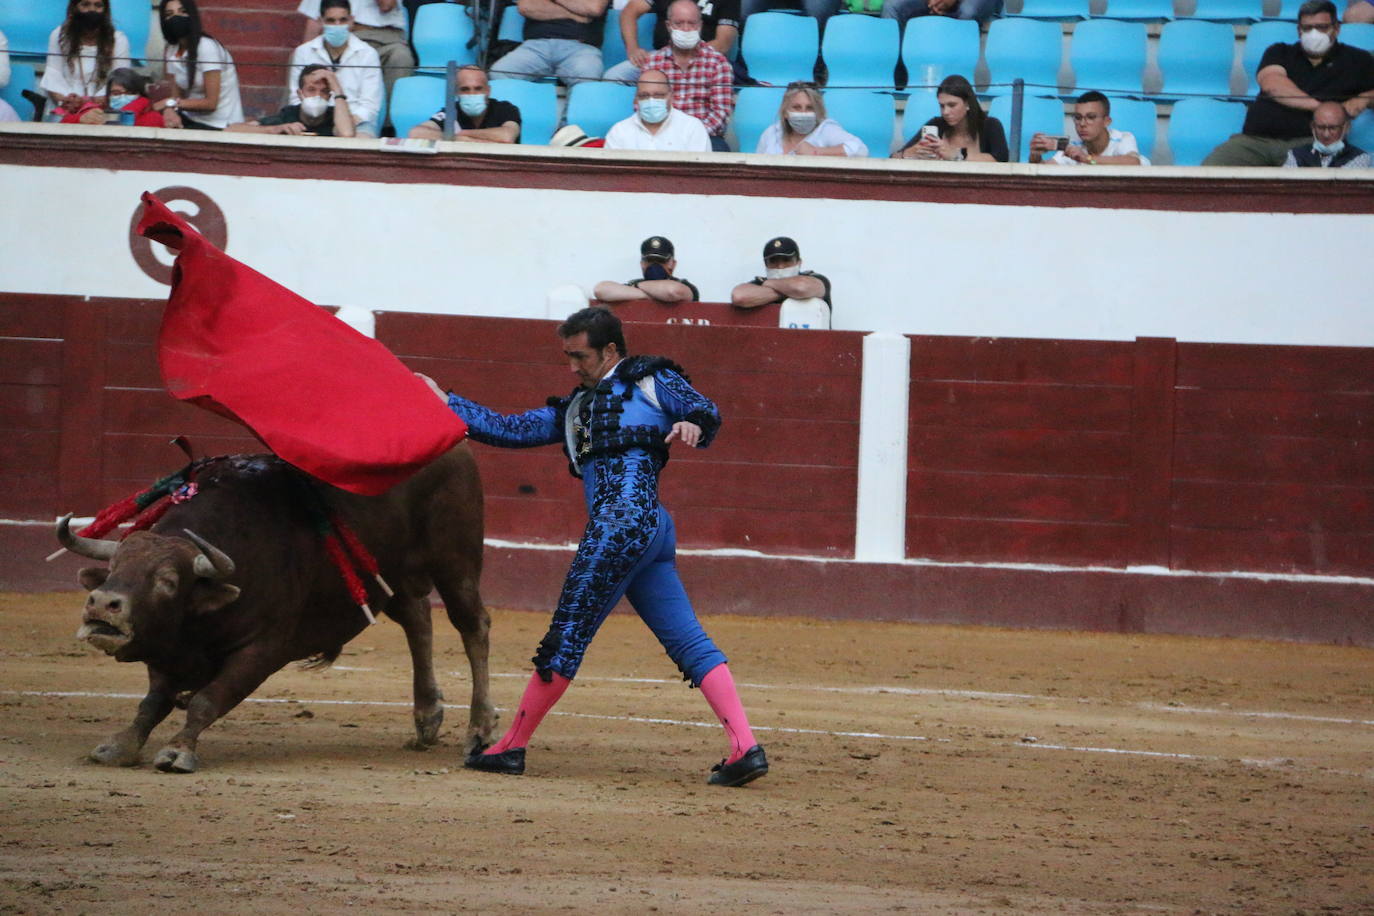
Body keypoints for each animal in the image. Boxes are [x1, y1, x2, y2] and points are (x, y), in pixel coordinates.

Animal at [60, 450, 500, 774]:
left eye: (168, 581)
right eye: (114, 567)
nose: (103, 603)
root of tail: (458, 449)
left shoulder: (262, 650)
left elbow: (208, 698)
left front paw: (178, 750)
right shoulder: (168, 647)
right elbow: (152, 702)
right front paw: (119, 745)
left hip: (455, 561)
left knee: (472, 626)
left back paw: (478, 731)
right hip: (390, 576)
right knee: (418, 620)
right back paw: (427, 718)